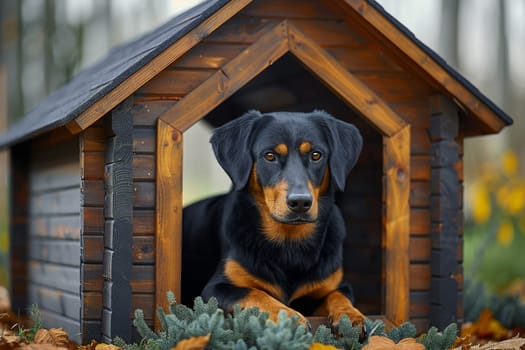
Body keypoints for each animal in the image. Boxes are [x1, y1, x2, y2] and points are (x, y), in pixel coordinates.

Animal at [183, 110, 364, 330]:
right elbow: (255, 293)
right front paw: (289, 317)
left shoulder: (336, 283)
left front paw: (350, 316)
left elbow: (338, 295)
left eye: (316, 155)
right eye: (270, 156)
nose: (300, 202)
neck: (289, 244)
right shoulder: (216, 289)